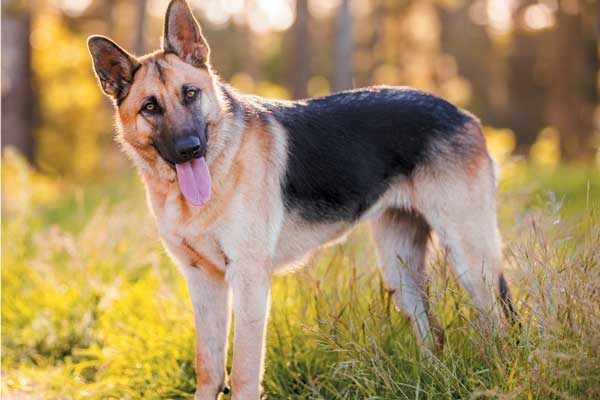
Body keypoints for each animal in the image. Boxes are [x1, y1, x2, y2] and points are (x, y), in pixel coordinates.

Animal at [88, 1, 516, 398]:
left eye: (190, 94)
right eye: (150, 107)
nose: (189, 149)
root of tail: (462, 113)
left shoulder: (248, 280)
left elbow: (243, 371)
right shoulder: (203, 281)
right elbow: (208, 368)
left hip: (469, 260)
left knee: (498, 325)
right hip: (400, 269)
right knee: (432, 332)